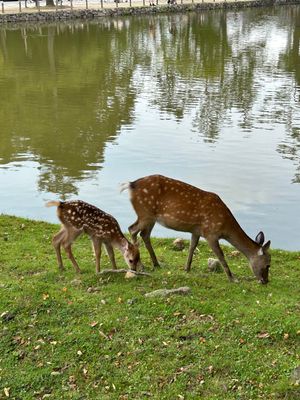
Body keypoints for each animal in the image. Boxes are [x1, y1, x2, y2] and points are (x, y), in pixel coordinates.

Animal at [120, 175, 272, 284]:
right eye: (268, 264)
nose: (265, 281)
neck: (225, 227)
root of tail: (131, 184)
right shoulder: (210, 233)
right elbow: (220, 255)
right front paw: (232, 278)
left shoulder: (196, 231)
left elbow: (192, 247)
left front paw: (186, 269)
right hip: (145, 213)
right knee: (132, 229)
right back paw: (140, 265)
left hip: (150, 217)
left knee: (144, 234)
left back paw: (156, 264)